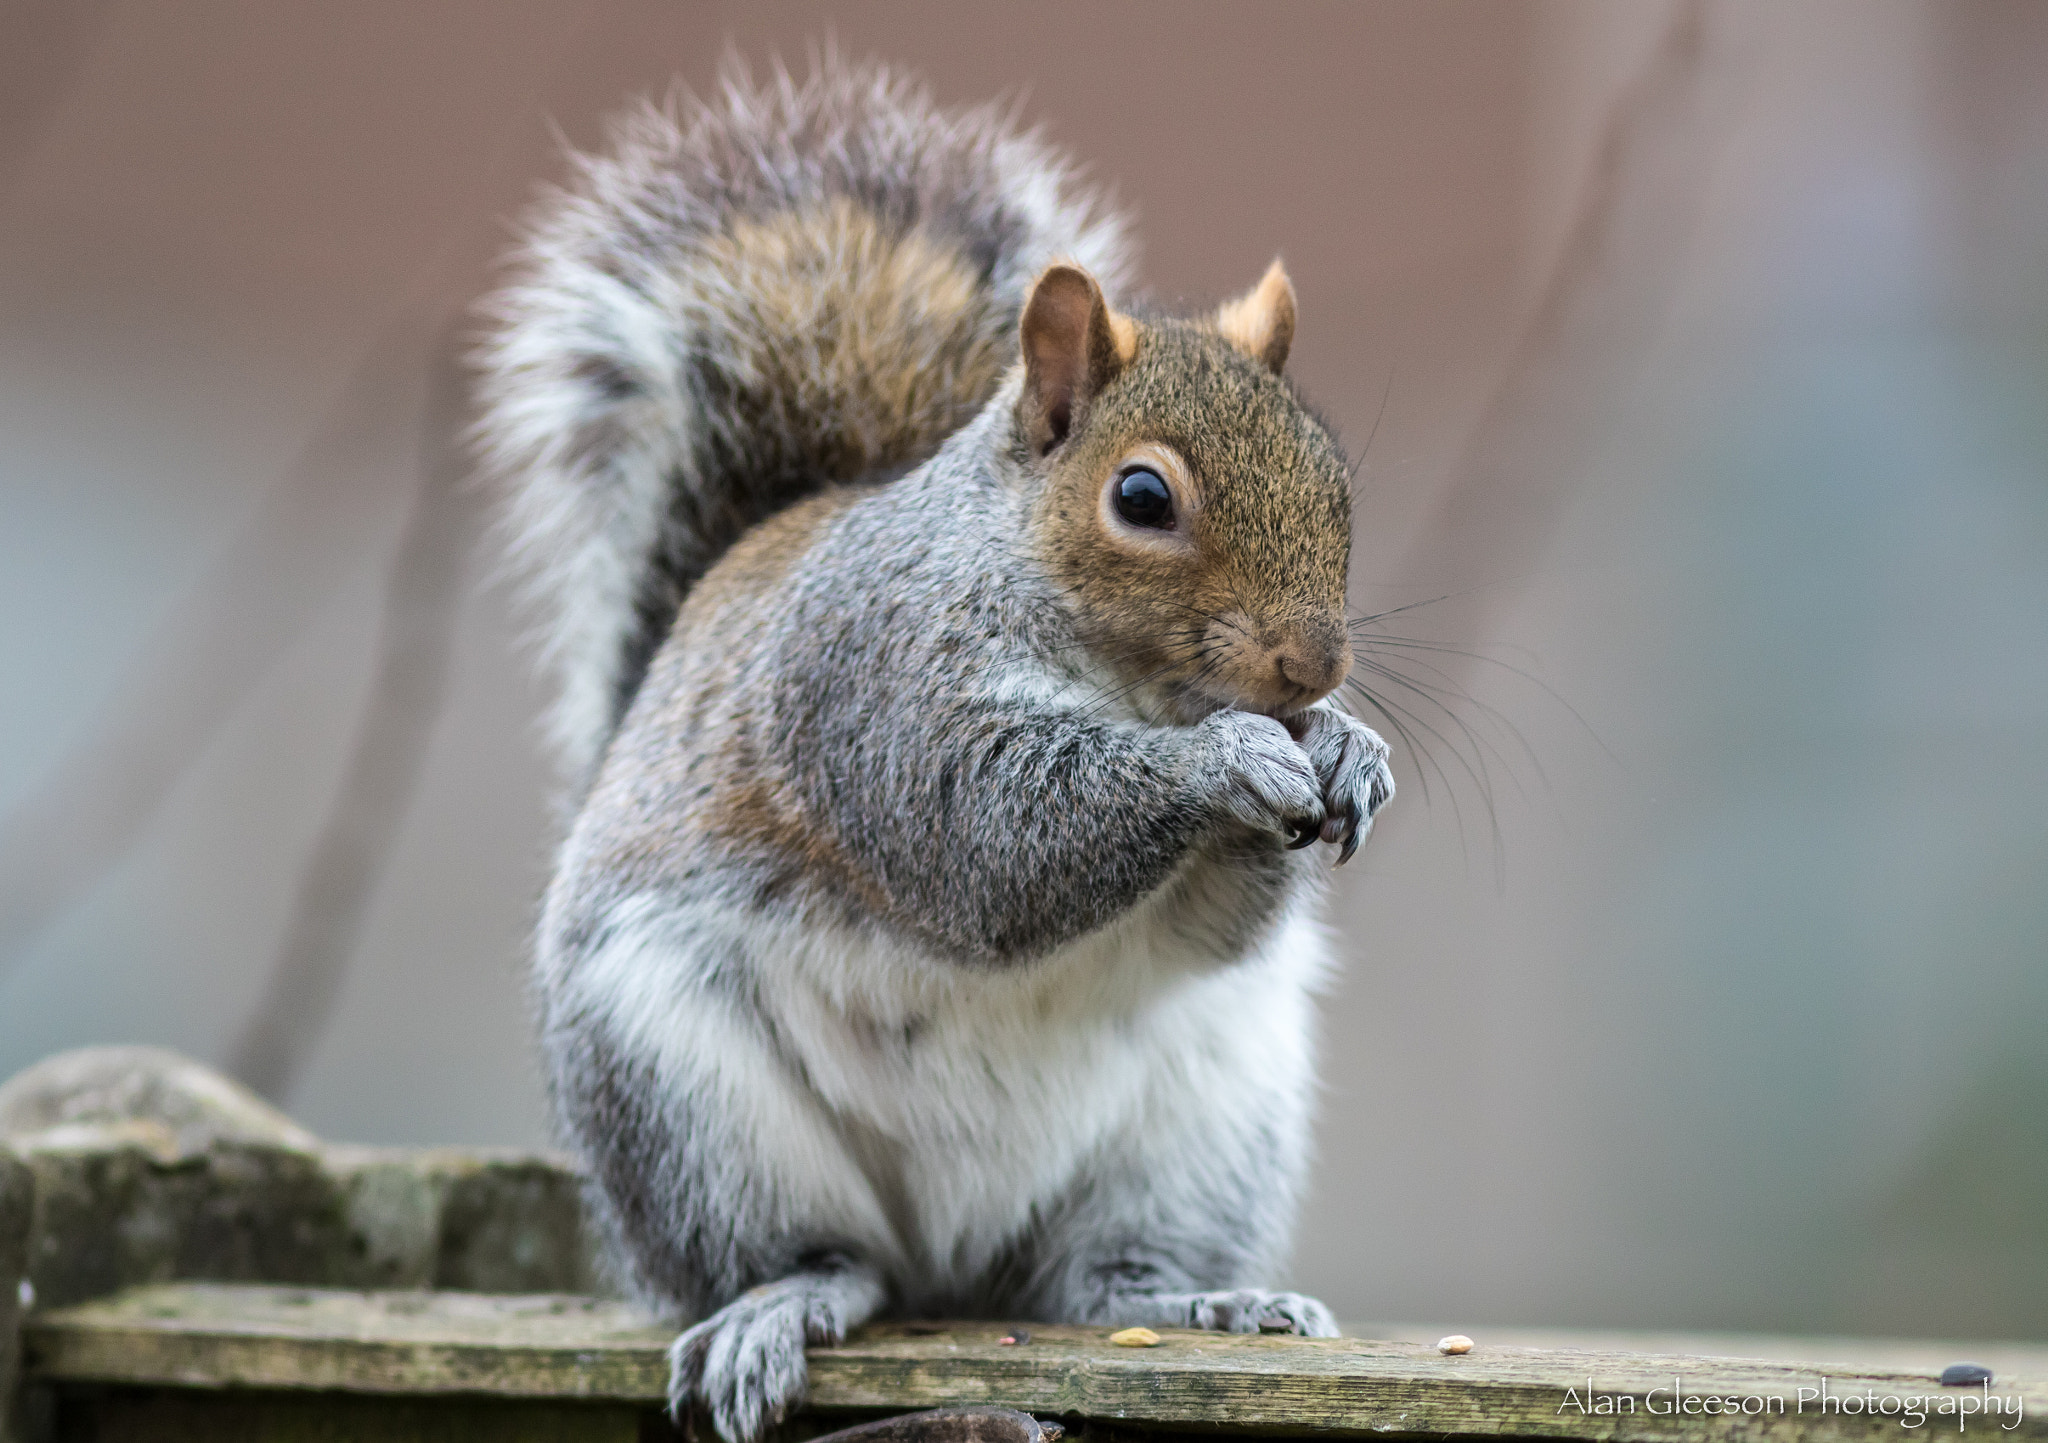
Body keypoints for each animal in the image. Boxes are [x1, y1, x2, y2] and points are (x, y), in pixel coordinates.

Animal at [475, 59, 1394, 1442]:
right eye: (1141, 498)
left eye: (1336, 485)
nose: (1313, 667)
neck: (1128, 681)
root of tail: (961, 1263)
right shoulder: (871, 695)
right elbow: (987, 842)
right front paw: (1227, 758)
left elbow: (1205, 933)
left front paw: (1345, 750)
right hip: (681, 1099)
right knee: (816, 1255)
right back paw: (779, 1305)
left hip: (1207, 1120)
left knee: (1090, 1279)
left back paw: (1198, 1300)